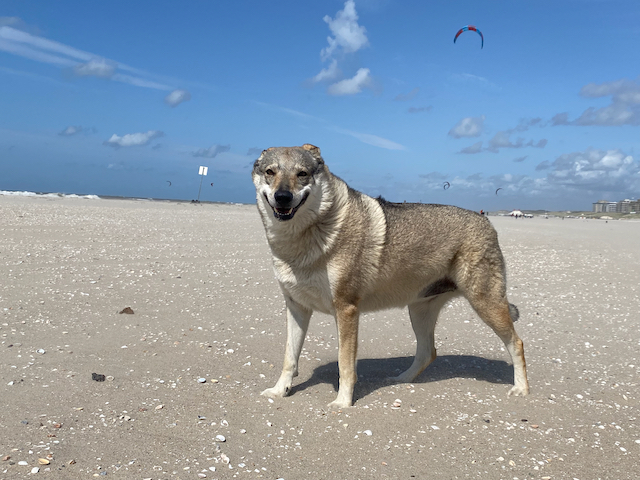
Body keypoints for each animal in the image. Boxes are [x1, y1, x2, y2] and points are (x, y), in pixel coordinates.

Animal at [252, 143, 528, 408]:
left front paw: (343, 402)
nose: (283, 197)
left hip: (485, 305)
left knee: (517, 343)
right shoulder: (297, 308)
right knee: (427, 352)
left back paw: (521, 389)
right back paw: (402, 379)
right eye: (270, 172)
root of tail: (488, 223)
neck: (301, 239)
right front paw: (279, 391)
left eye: (302, 174)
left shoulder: (346, 309)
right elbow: (289, 357)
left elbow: (345, 364)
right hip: (419, 311)